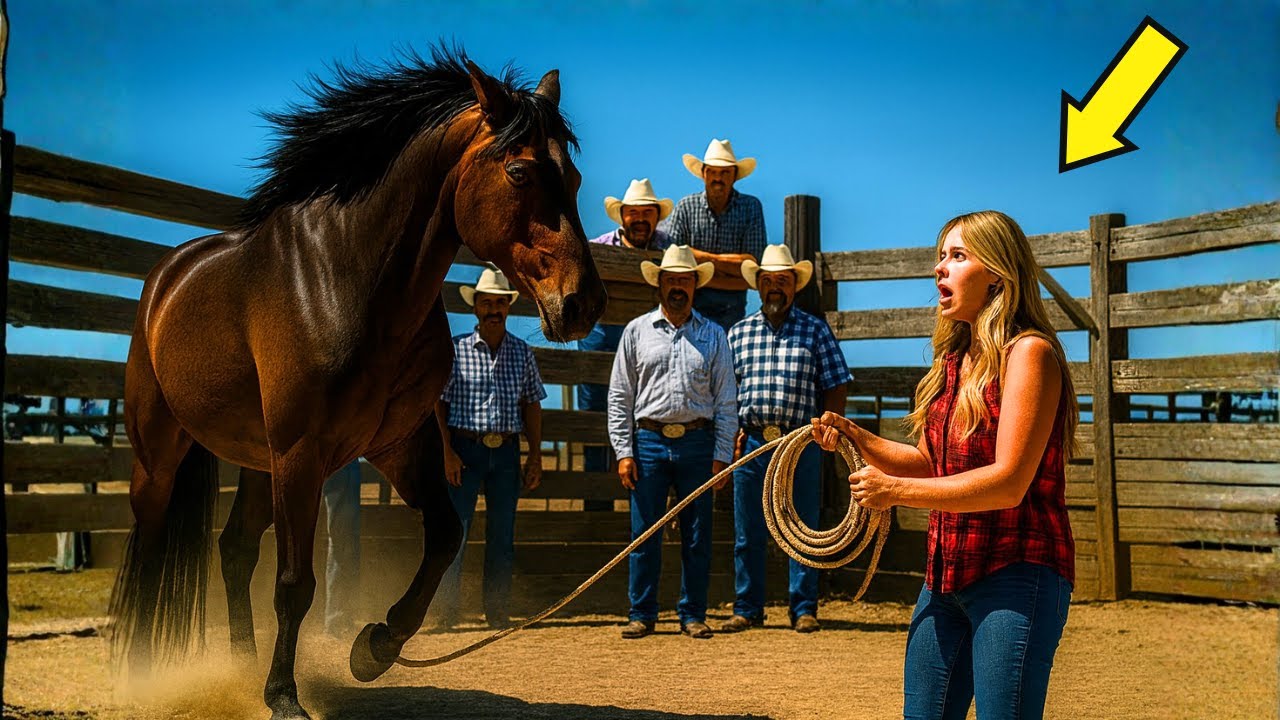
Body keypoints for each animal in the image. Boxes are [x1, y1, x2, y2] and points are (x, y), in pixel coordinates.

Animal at [108, 46, 607, 720]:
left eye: (574, 180)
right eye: (522, 172)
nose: (583, 304)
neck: (348, 282)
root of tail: (167, 277)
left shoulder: (398, 444)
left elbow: (445, 536)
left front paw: (375, 645)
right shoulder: (303, 454)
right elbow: (295, 584)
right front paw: (284, 697)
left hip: (258, 462)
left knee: (234, 551)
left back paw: (240, 669)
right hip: (162, 453)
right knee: (152, 546)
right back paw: (141, 674)